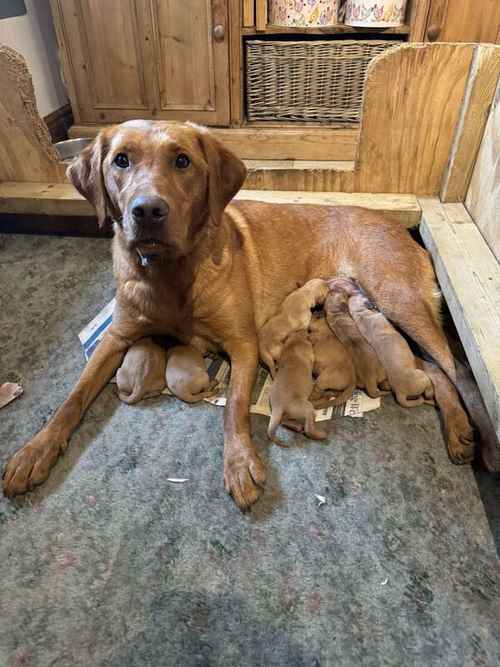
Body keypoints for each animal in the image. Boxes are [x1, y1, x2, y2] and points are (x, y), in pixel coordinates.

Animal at [2, 120, 472, 508]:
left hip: (398, 300)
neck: (170, 274)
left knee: (450, 371)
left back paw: (462, 428)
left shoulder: (243, 344)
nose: (147, 210)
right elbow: (72, 398)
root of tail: (402, 231)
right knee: (433, 370)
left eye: (182, 161)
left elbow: (235, 408)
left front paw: (240, 462)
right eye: (121, 160)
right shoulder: (116, 338)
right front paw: (34, 451)